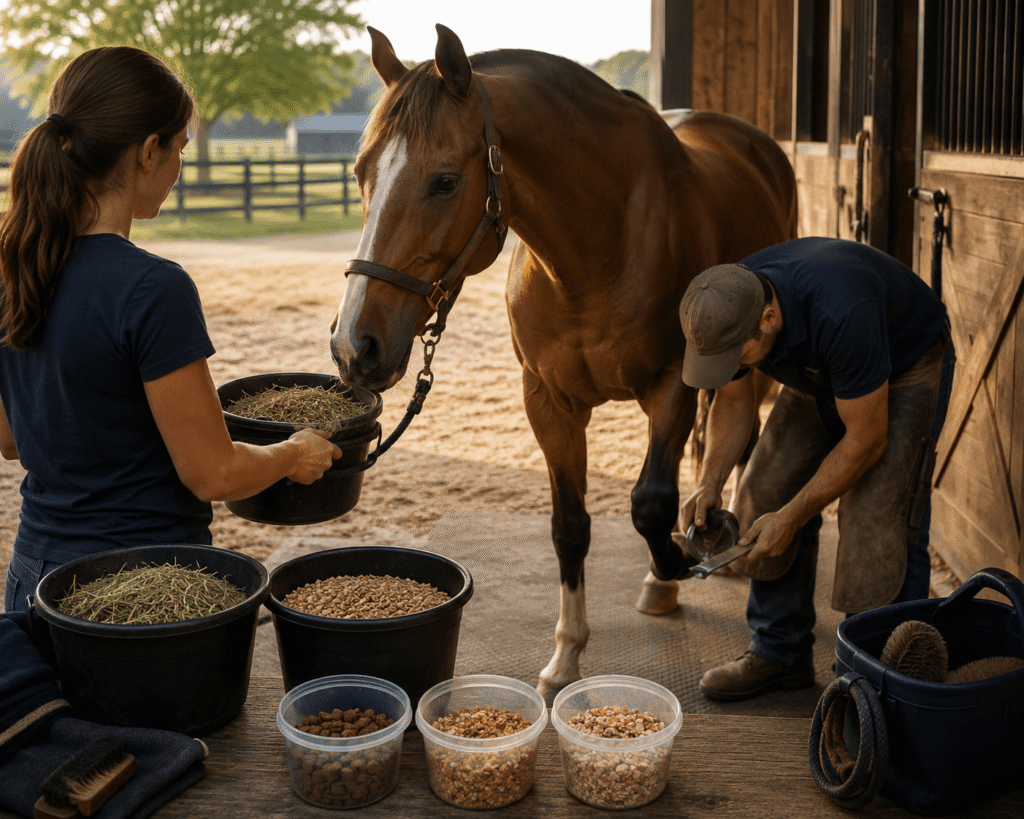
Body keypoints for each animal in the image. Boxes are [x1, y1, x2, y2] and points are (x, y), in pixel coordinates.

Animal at [330, 24, 797, 702]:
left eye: (444, 181)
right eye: (362, 172)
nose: (353, 347)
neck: (598, 246)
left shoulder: (672, 385)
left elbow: (650, 503)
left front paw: (678, 558)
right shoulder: (548, 401)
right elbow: (570, 526)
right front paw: (566, 659)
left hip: (749, 359)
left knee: (740, 431)